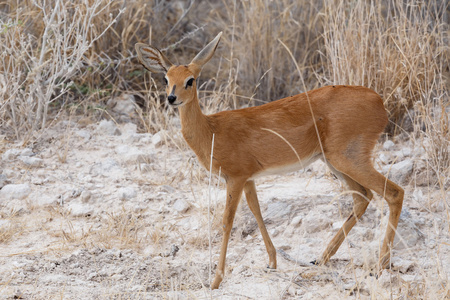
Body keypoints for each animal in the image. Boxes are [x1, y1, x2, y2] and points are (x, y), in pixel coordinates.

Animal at [134, 32, 404, 288]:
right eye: (166, 78)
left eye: (190, 80)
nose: (171, 98)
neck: (212, 131)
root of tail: (379, 102)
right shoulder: (248, 179)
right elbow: (257, 212)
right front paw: (272, 262)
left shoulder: (235, 178)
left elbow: (227, 222)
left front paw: (216, 280)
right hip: (334, 163)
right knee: (362, 197)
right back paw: (320, 259)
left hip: (348, 159)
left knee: (393, 192)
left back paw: (379, 266)